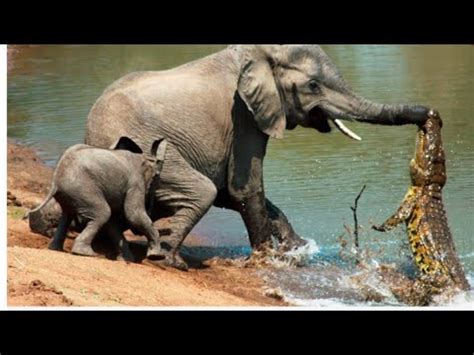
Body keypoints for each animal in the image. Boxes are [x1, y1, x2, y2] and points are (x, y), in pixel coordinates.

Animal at [26, 138, 167, 262]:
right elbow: (133, 215)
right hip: (83, 189)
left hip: (71, 193)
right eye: (156, 177)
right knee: (102, 213)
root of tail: (56, 180)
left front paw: (126, 260)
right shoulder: (135, 183)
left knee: (67, 215)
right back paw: (85, 253)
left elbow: (113, 223)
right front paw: (157, 256)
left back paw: (56, 249)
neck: (144, 158)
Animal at [84, 46, 430, 272]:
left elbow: (231, 193)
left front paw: (299, 250)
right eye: (313, 85)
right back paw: (170, 261)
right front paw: (269, 261)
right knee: (202, 191)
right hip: (145, 150)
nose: (429, 115)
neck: (263, 52)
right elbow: (243, 188)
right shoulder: (243, 116)